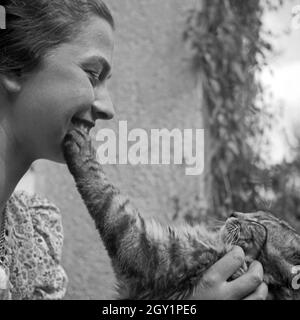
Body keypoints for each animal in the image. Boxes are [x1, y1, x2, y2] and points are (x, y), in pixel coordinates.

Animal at [62, 123, 298, 300]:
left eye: (257, 222)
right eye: (254, 212)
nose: (233, 213)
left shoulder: (147, 251)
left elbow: (104, 192)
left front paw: (82, 148)